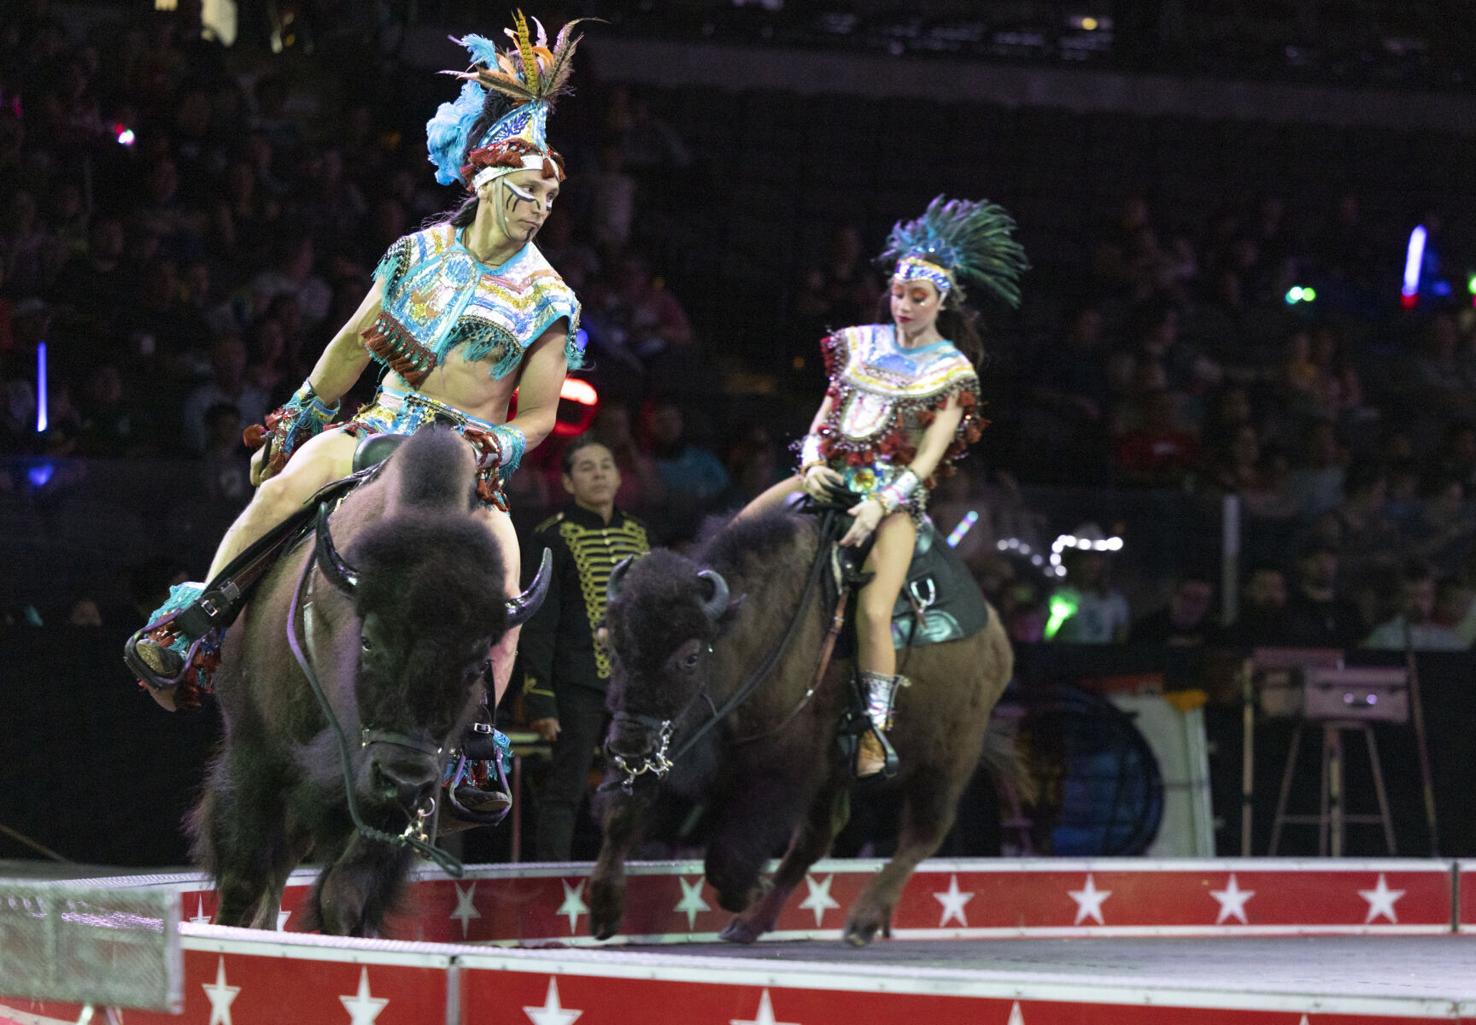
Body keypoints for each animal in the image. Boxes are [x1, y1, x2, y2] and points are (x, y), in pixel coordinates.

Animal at [190, 428, 546, 939]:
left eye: (479, 664)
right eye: (369, 640)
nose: (401, 779)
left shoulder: (408, 802)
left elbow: (345, 893)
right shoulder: (256, 756)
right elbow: (244, 878)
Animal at [587, 511, 1015, 951]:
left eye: (690, 657)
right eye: (610, 645)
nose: (628, 742)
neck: (744, 632)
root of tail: (995, 635)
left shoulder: (784, 771)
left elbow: (728, 856)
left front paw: (749, 890)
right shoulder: (667, 759)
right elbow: (621, 816)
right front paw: (602, 909)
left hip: (948, 760)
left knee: (923, 832)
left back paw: (860, 922)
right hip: (841, 776)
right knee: (818, 840)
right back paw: (750, 925)